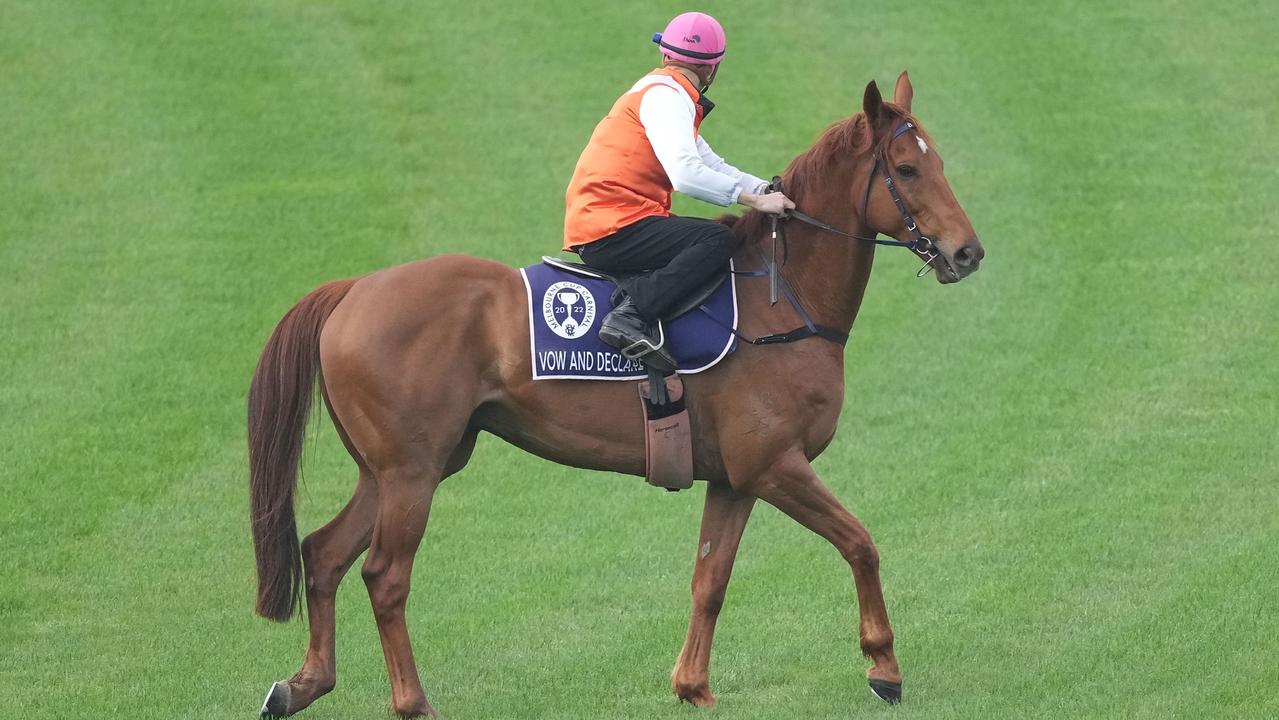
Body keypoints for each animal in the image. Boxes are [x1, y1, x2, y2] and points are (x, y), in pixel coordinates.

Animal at [251, 73, 987, 716]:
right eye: (908, 169)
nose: (967, 253)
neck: (780, 302)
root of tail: (354, 289)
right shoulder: (777, 466)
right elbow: (860, 543)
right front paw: (883, 667)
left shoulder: (736, 480)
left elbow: (709, 581)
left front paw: (693, 686)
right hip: (412, 473)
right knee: (385, 576)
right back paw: (412, 701)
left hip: (390, 470)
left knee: (323, 554)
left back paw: (302, 684)